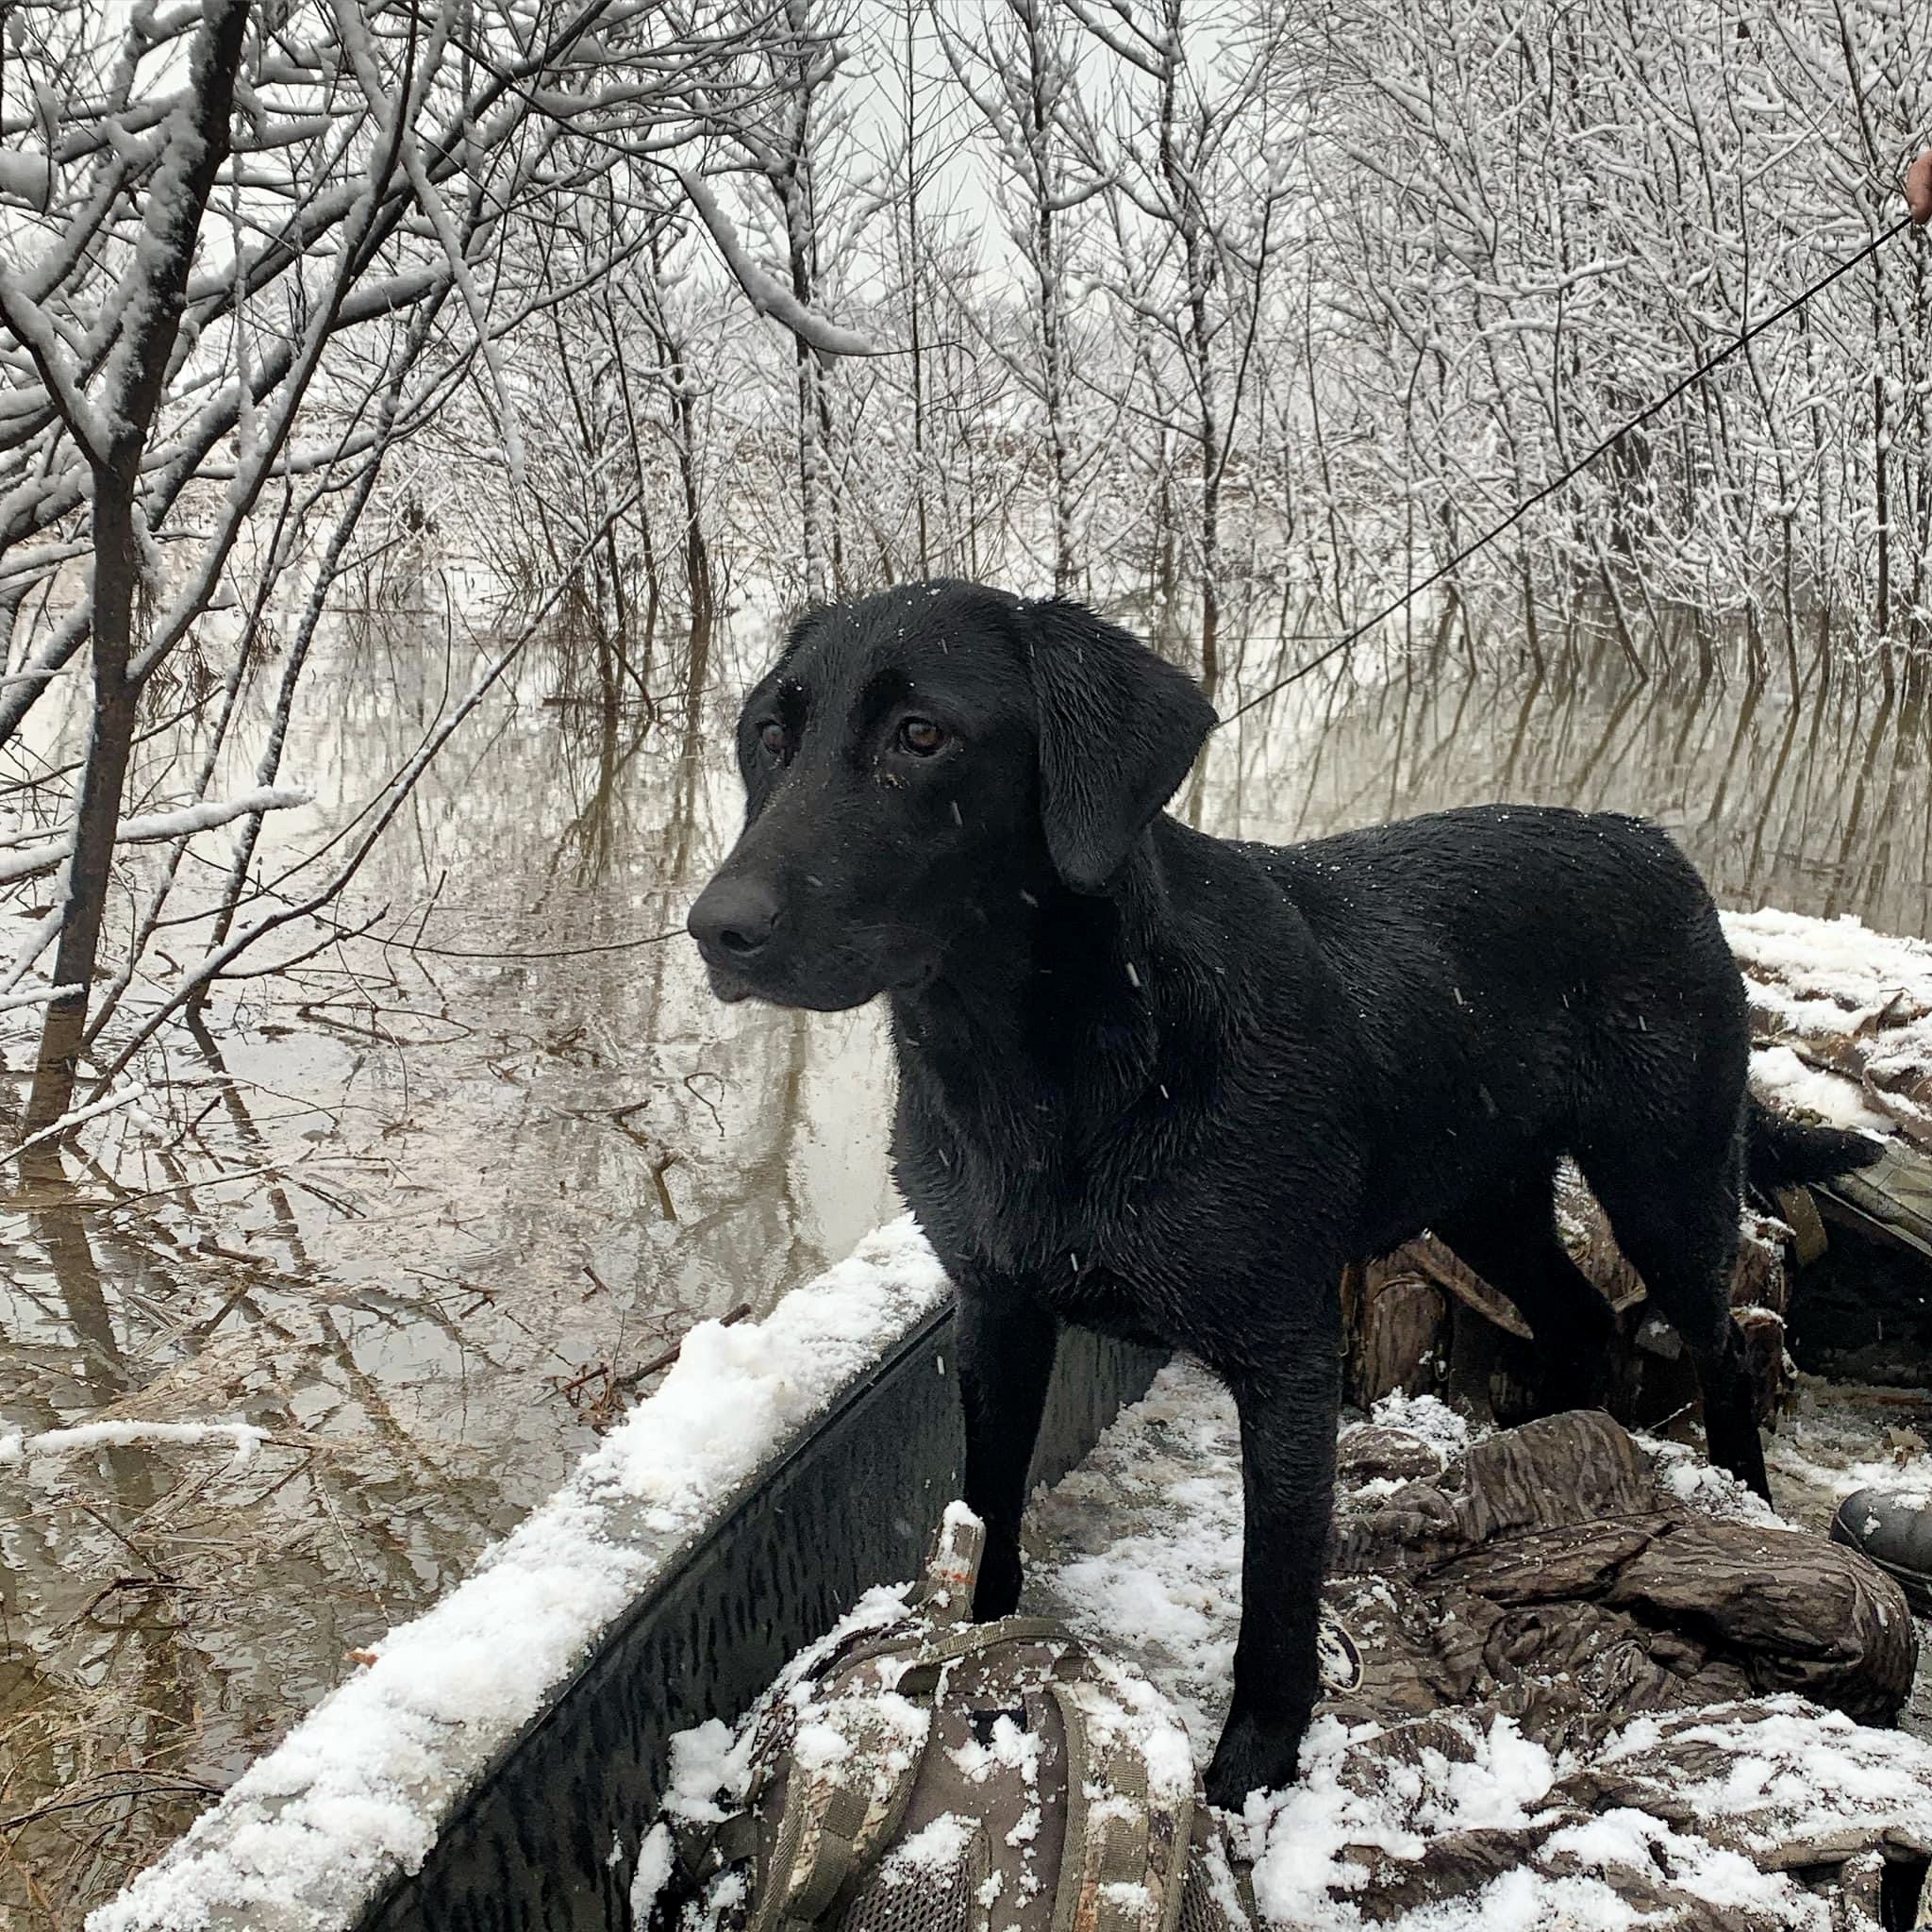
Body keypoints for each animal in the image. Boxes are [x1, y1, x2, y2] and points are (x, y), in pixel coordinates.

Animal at [688, 579, 1877, 1800]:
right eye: (772, 736)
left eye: (919, 735)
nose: (717, 928)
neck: (1051, 1068)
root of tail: (1652, 841)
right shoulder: (996, 1311)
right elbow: (989, 1514)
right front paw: (968, 1668)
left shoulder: (1286, 1354)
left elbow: (1275, 1593)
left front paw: (1247, 1772)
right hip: (1481, 1195)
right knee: (1582, 1318)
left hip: (1662, 1178)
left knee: (1718, 1343)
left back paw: (1740, 1497)